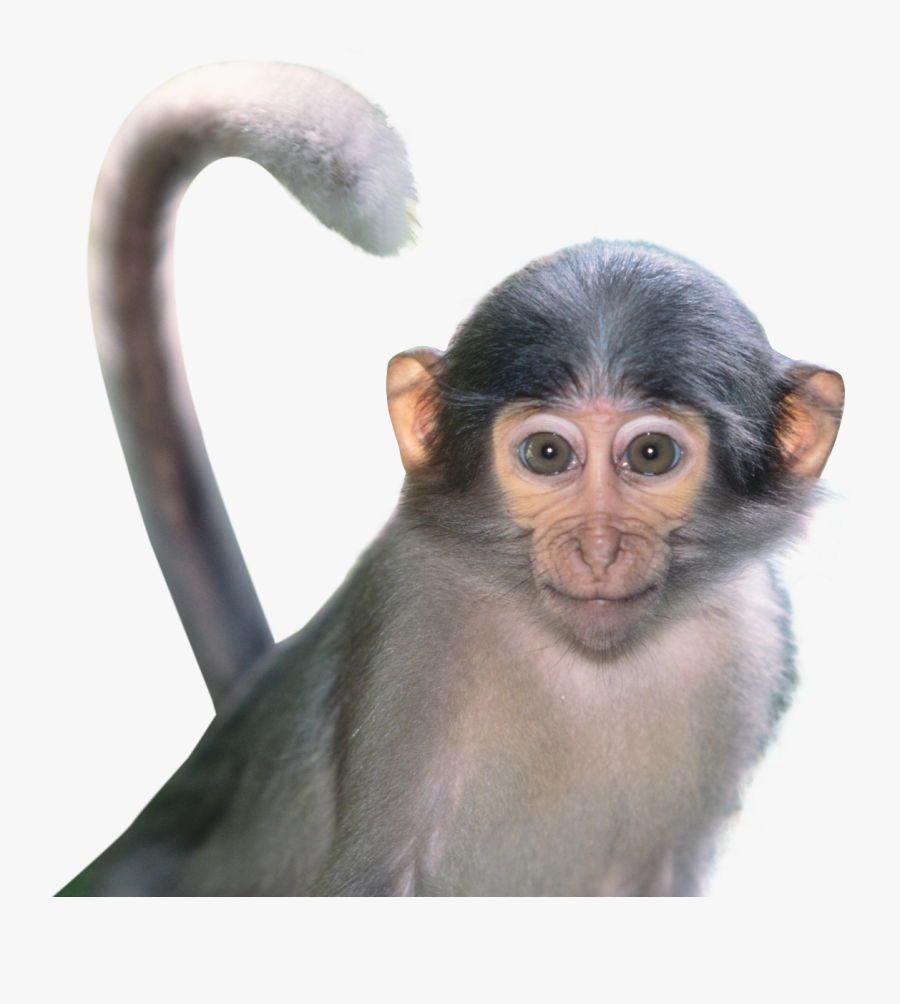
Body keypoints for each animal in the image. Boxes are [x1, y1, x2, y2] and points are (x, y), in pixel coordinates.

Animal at [58, 63, 843, 896]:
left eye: (653, 455)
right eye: (548, 455)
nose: (598, 550)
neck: (585, 666)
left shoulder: (750, 644)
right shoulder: (416, 611)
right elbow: (379, 873)